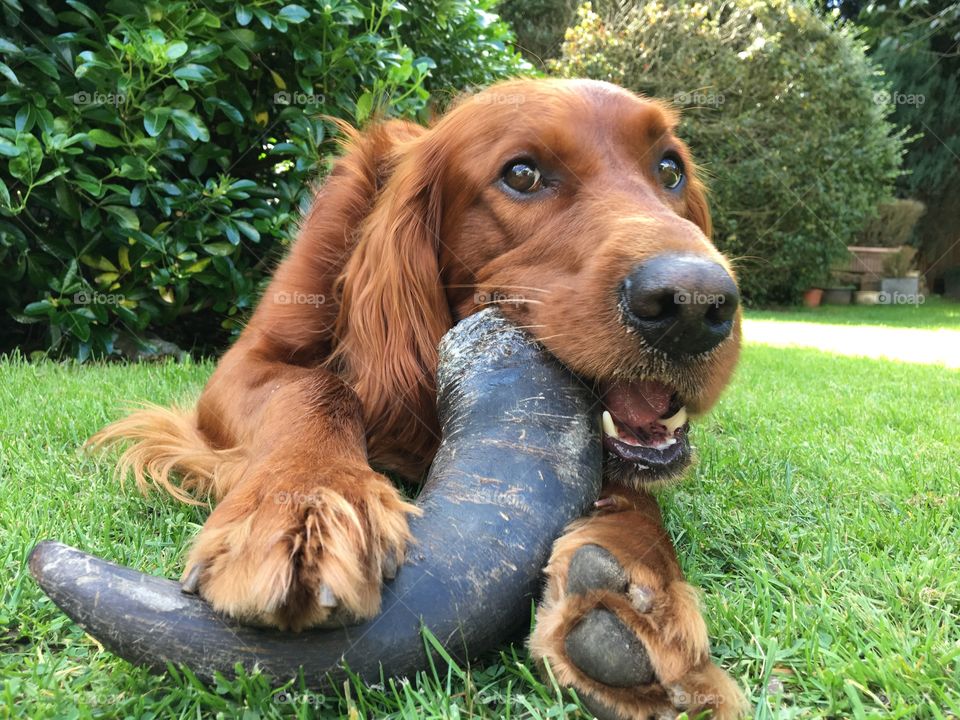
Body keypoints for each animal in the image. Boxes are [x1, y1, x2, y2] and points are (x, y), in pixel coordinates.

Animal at [94, 79, 748, 720]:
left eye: (670, 169)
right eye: (522, 174)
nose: (695, 305)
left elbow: (636, 496)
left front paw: (638, 598)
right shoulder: (245, 364)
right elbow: (316, 387)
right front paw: (304, 507)